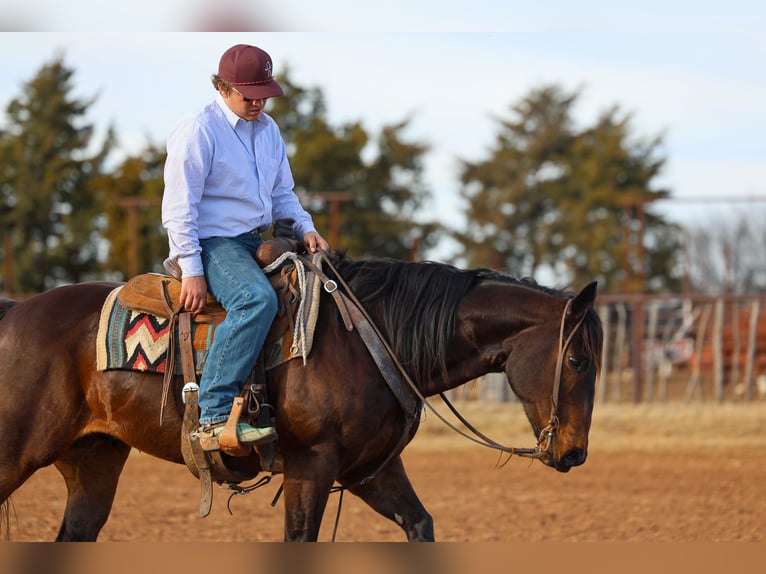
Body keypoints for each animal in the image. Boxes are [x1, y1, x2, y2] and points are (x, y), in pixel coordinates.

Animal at [0, 253, 602, 541]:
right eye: (578, 361)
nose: (574, 453)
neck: (371, 337)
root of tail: (16, 310)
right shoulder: (310, 468)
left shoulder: (369, 471)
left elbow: (420, 524)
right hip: (16, 454)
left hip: (94, 461)